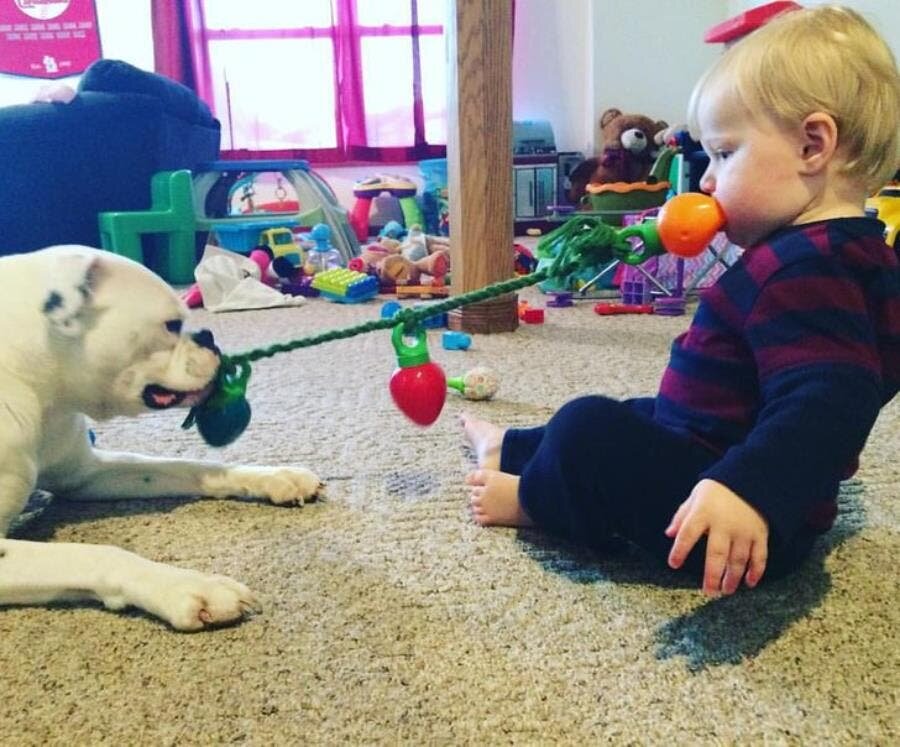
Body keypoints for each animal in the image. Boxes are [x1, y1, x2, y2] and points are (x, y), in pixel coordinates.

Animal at [0, 250, 324, 632]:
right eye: (171, 326)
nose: (209, 336)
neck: (42, 390)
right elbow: (96, 554)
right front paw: (191, 585)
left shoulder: (86, 475)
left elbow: (188, 467)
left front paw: (275, 477)